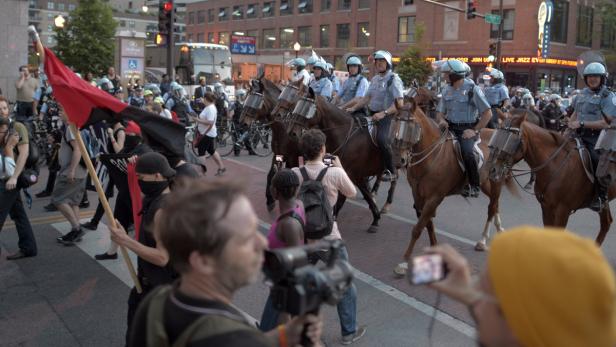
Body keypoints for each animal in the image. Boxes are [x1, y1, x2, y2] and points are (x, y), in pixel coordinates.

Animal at [238, 77, 300, 211]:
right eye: (246, 97)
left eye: (255, 100)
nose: (241, 123)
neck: (283, 127)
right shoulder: (278, 154)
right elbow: (271, 174)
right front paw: (270, 199)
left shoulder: (293, 156)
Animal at [390, 96, 516, 276]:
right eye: (395, 121)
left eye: (411, 126)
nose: (398, 160)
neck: (432, 157)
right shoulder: (418, 195)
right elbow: (427, 224)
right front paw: (435, 250)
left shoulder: (435, 197)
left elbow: (418, 227)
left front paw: (405, 261)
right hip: (485, 183)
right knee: (495, 203)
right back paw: (499, 229)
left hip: (496, 180)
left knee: (492, 206)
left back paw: (483, 241)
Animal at [488, 111, 612, 245]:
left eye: (509, 140)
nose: (492, 169)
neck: (556, 164)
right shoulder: (546, 207)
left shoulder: (563, 211)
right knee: (606, 223)